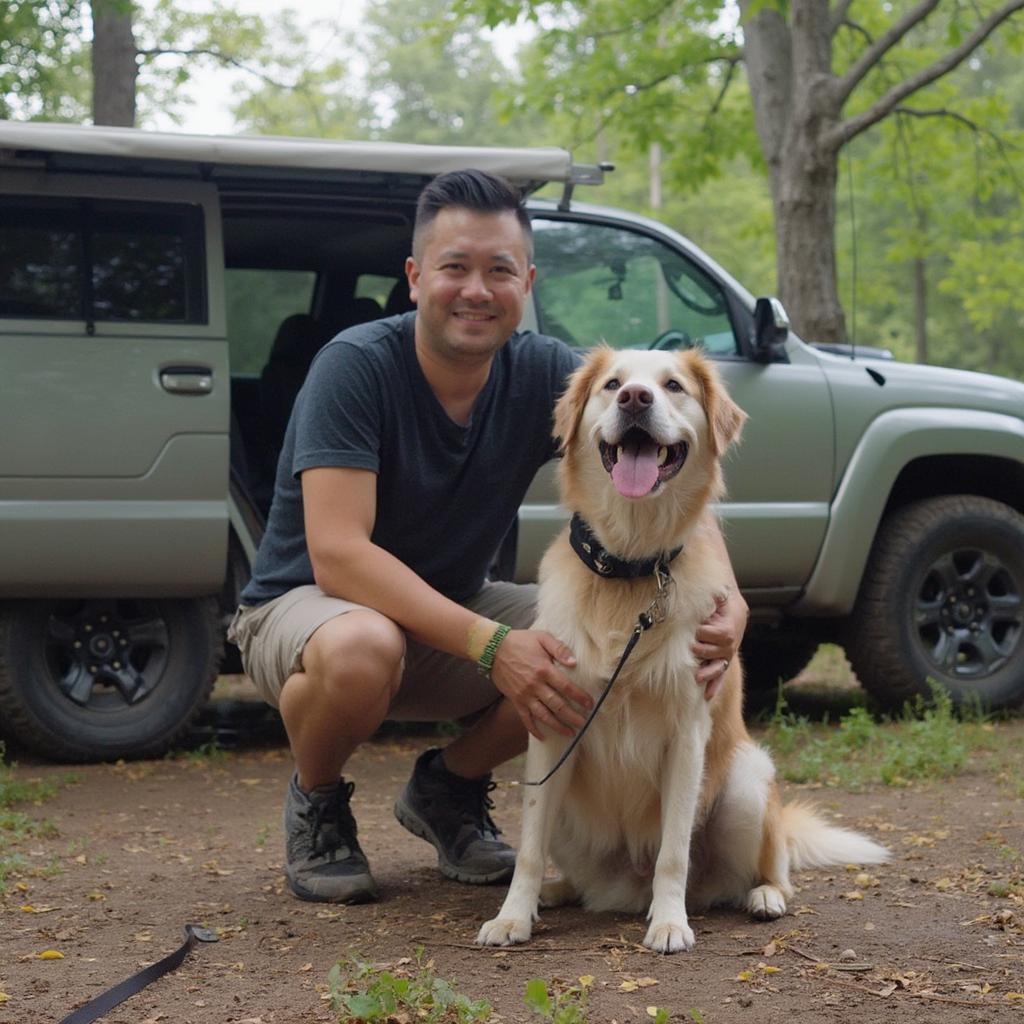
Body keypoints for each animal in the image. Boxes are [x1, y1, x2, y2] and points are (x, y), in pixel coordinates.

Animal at [479, 348, 888, 954]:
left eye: (673, 386)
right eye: (613, 385)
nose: (635, 399)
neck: (631, 568)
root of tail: (622, 887)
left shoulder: (686, 734)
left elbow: (673, 852)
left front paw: (670, 922)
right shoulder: (551, 729)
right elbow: (528, 847)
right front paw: (512, 916)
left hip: (746, 783)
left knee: (766, 870)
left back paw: (762, 897)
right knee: (570, 871)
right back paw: (556, 892)